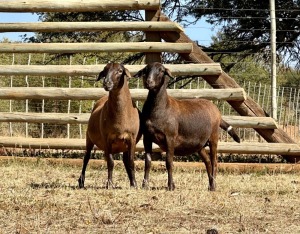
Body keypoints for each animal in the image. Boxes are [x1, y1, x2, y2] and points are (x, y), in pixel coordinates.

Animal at [135, 62, 240, 192]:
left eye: (161, 70)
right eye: (146, 70)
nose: (149, 82)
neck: (160, 107)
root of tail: (218, 113)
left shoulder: (170, 137)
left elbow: (169, 162)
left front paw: (171, 186)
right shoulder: (147, 137)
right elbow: (148, 161)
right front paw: (145, 185)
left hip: (213, 137)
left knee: (214, 162)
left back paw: (213, 186)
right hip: (200, 144)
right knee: (207, 162)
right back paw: (210, 185)